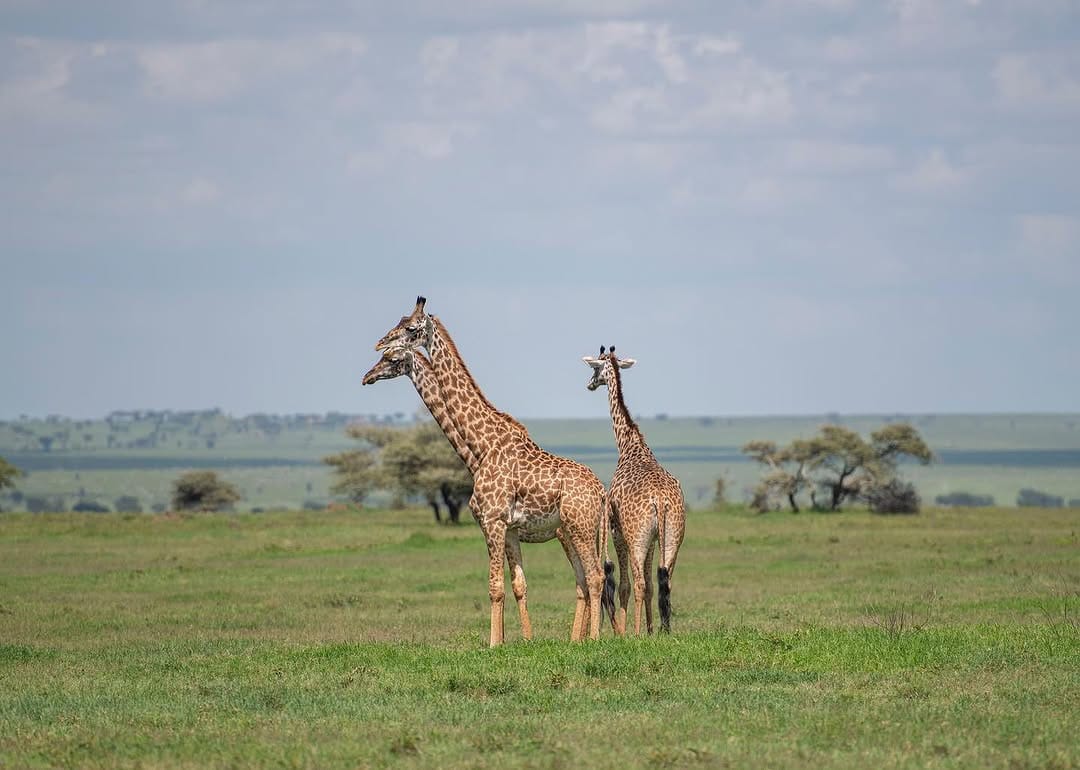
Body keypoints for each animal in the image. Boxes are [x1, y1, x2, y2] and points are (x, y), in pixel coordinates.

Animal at [371, 298, 613, 646]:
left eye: (410, 329)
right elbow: (517, 585)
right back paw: (577, 639)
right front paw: (522, 640)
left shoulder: (493, 521)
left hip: (578, 527)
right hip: (576, 531)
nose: (369, 371)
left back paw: (591, 640)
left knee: (594, 577)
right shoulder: (508, 528)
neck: (479, 447)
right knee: (585, 579)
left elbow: (495, 587)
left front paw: (494, 644)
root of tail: (601, 491)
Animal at [582, 345, 686, 634]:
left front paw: (627, 630)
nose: (589, 384)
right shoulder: (651, 540)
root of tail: (660, 501)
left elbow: (626, 586)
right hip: (672, 536)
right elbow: (651, 585)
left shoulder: (618, 530)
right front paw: (650, 629)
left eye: (595, 367)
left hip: (636, 537)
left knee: (638, 583)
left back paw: (637, 632)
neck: (629, 443)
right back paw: (663, 630)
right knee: (664, 580)